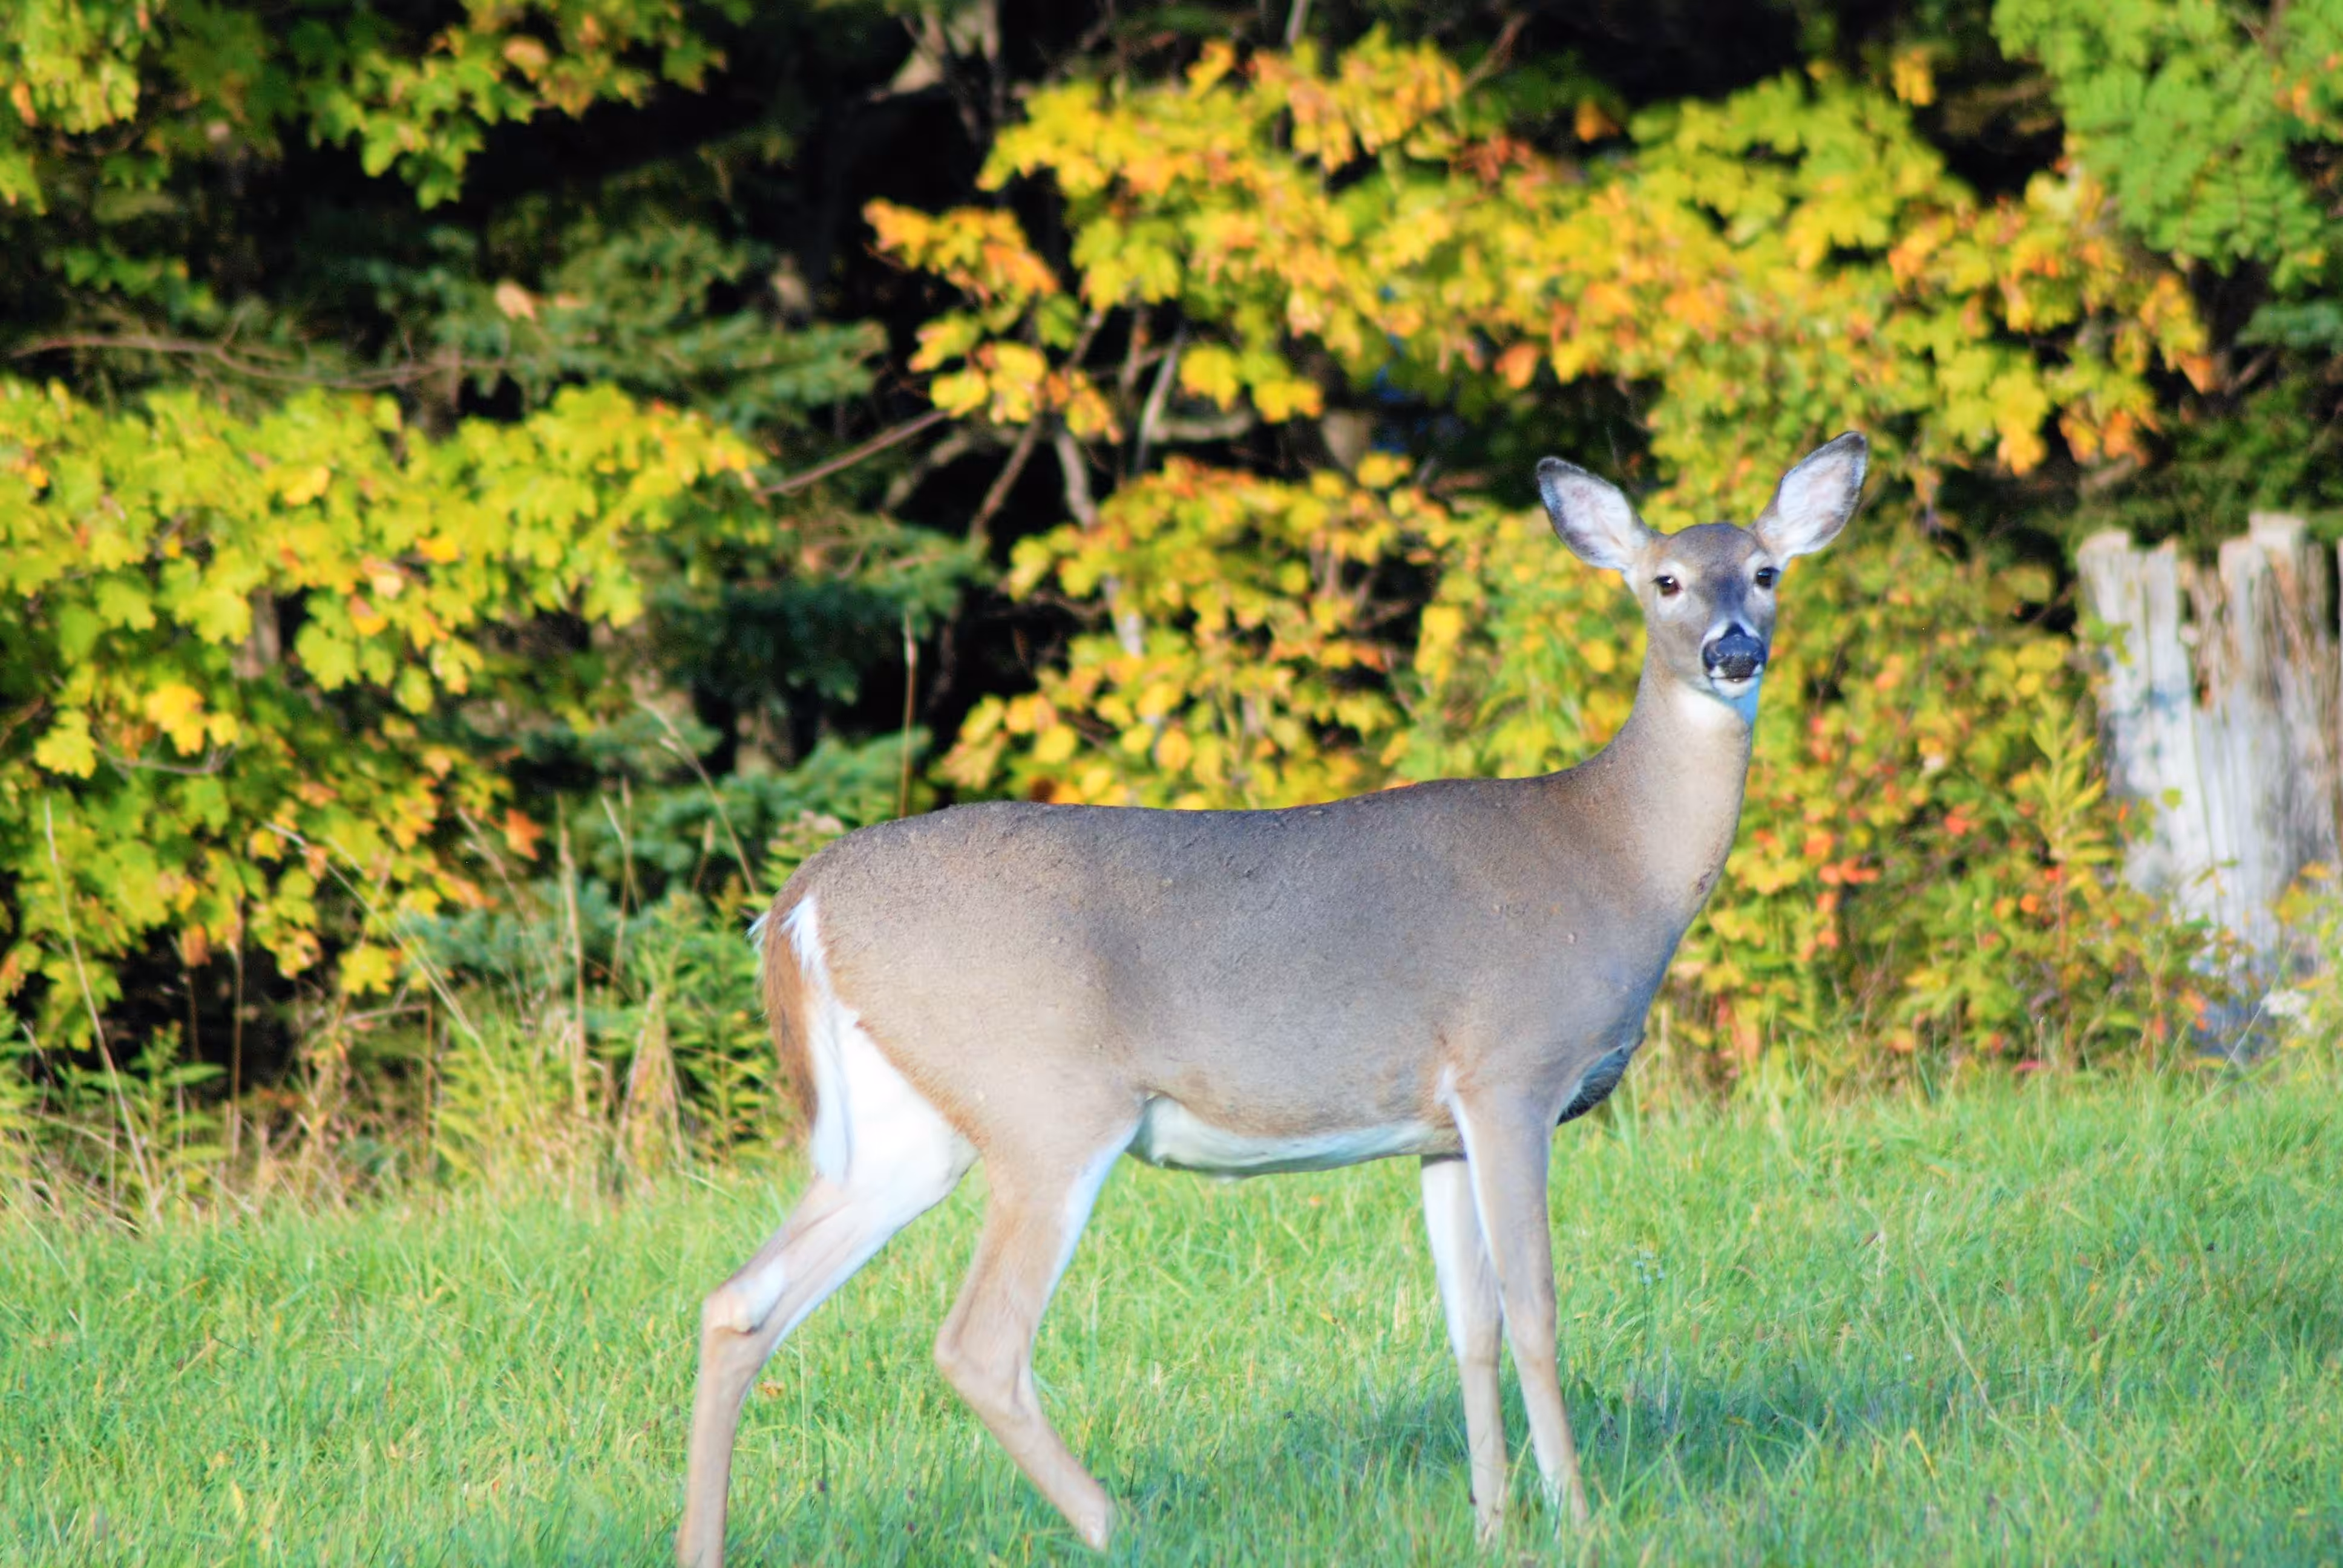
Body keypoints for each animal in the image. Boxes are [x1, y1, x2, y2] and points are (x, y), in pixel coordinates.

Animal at [677, 432, 1868, 1563]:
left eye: (1765, 571)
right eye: (1665, 581)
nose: (1732, 647)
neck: (1614, 856)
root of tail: (801, 903)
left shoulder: (1439, 1127)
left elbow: (1469, 1327)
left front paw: (1491, 1523)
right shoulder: (1511, 1071)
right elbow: (1536, 1313)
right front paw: (1577, 1520)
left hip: (909, 1125)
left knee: (740, 1301)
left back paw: (703, 1545)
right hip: (1047, 1106)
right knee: (978, 1344)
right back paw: (1127, 1530)